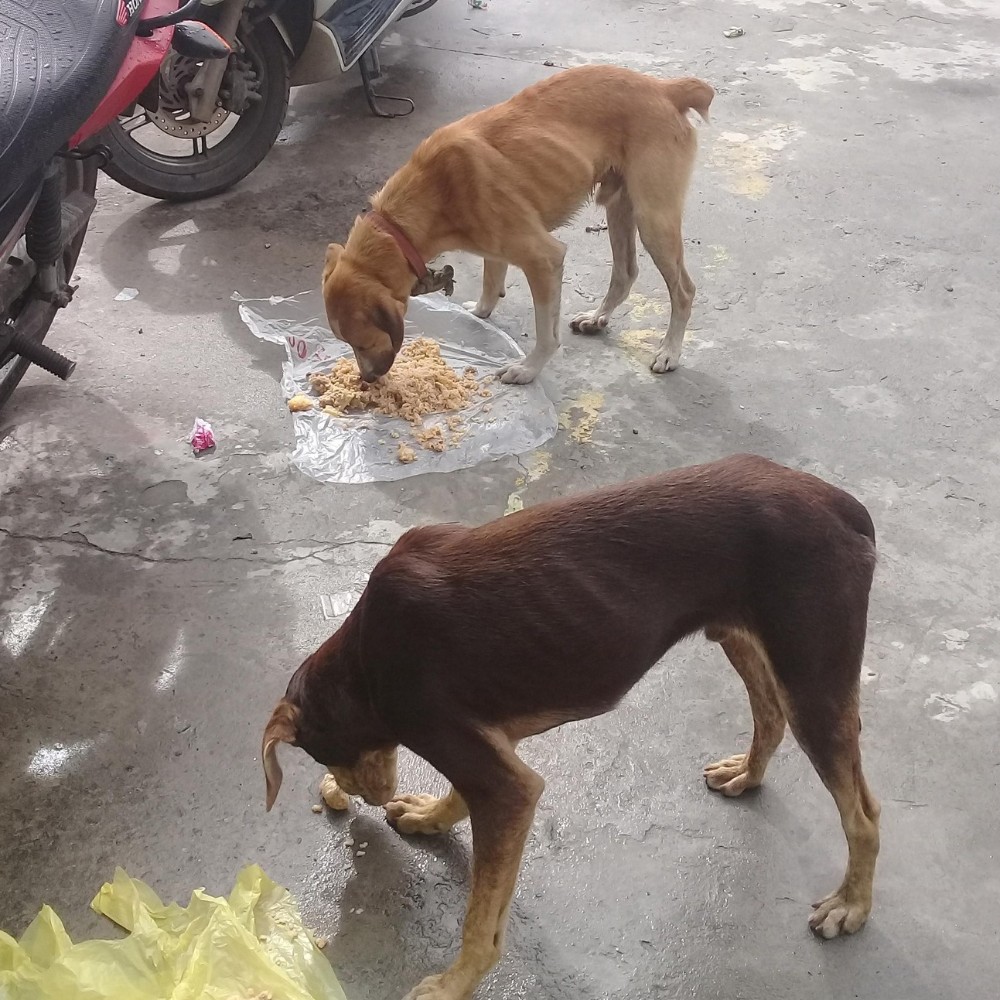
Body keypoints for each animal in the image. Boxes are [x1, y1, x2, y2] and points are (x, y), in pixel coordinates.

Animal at [263, 455, 880, 1000]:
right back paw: (748, 774)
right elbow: (464, 798)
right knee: (768, 714)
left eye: (322, 756)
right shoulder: (495, 750)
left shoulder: (496, 777)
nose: (353, 795)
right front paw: (432, 817)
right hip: (741, 636)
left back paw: (851, 904)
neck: (362, 662)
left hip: (814, 678)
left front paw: (455, 984)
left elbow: (481, 921)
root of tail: (843, 504)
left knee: (865, 817)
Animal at [321, 65, 714, 385]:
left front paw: (529, 369)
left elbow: (546, 333)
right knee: (626, 272)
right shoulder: (495, 247)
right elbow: (491, 279)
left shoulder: (544, 259)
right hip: (619, 206)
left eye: (361, 342)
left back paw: (669, 352)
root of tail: (666, 88)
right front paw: (480, 312)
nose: (366, 380)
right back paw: (597, 317)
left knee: (684, 291)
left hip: (653, 220)